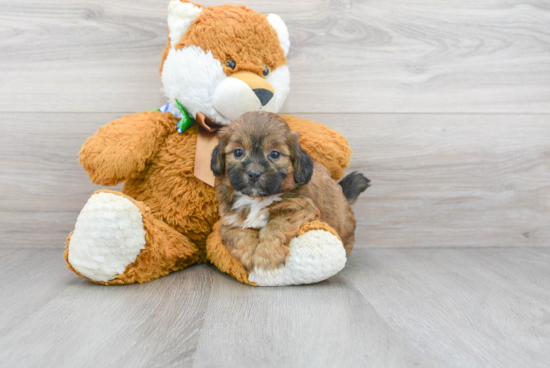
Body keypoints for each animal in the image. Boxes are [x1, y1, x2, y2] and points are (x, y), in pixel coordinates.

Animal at [211, 112, 370, 274]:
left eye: (275, 154)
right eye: (238, 152)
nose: (254, 174)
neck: (257, 198)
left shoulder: (297, 209)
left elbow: (273, 227)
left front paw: (266, 259)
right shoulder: (230, 222)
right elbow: (240, 236)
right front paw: (250, 257)